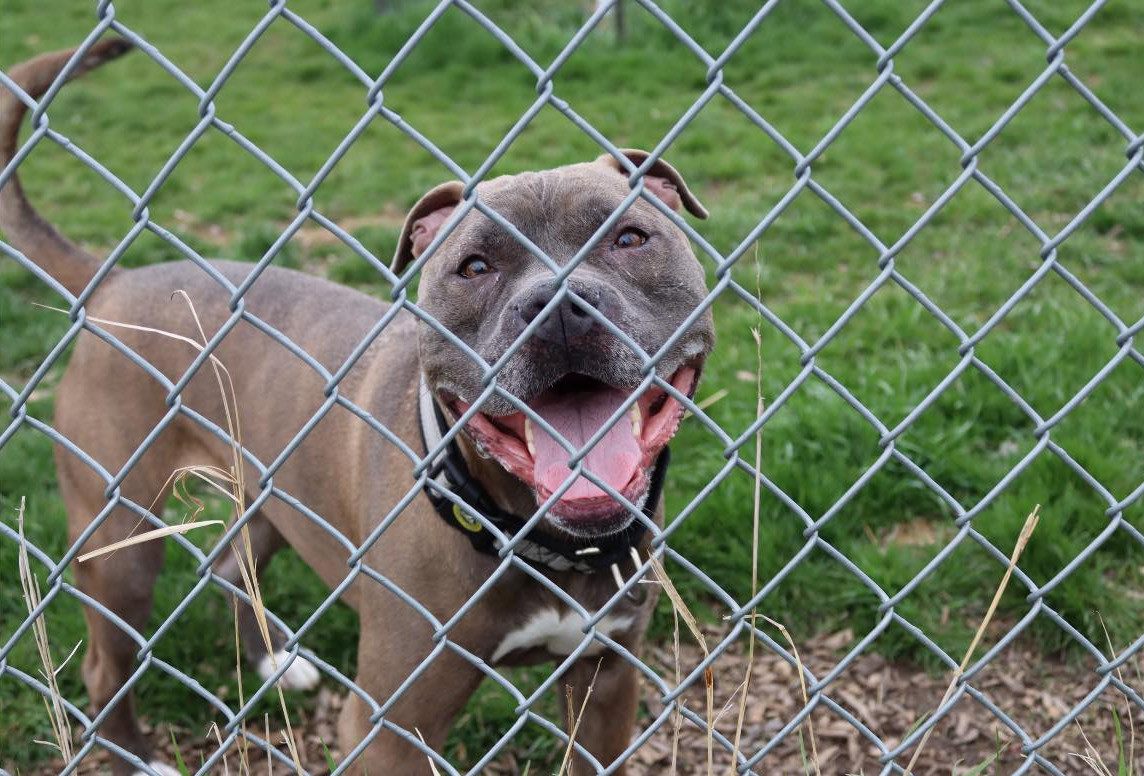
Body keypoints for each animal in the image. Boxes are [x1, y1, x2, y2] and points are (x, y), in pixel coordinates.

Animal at [0, 42, 713, 776]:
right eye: (474, 266)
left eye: (630, 239)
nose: (559, 309)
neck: (531, 532)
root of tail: (115, 281)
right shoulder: (392, 727)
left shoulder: (607, 684)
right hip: (120, 542)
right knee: (104, 666)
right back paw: (140, 755)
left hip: (272, 494)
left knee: (232, 565)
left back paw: (274, 662)